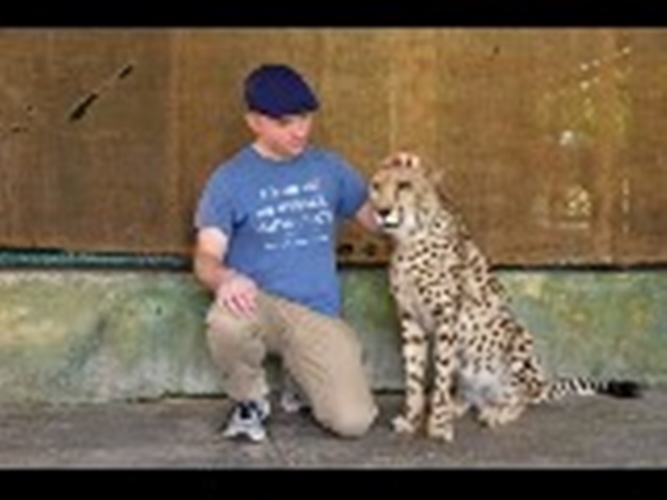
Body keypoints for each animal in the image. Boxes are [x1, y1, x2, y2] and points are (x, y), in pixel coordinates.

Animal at [368, 151, 643, 442]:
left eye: (404, 185)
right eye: (375, 186)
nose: (382, 211)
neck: (410, 237)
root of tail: (541, 385)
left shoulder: (446, 317)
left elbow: (440, 375)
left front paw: (439, 424)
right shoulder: (410, 318)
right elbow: (414, 376)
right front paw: (412, 419)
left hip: (516, 334)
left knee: (521, 397)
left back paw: (498, 412)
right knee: (474, 395)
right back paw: (461, 404)